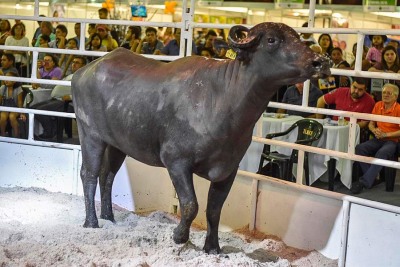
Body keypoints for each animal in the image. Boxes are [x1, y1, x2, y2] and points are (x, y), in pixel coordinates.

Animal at [71, 22, 328, 254]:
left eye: (297, 37)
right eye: (272, 40)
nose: (321, 62)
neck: (223, 101)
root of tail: (84, 71)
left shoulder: (228, 170)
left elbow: (214, 210)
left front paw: (212, 247)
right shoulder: (176, 162)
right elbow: (190, 204)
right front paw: (179, 237)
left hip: (117, 144)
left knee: (107, 176)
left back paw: (109, 217)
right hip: (90, 134)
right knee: (89, 174)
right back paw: (92, 222)